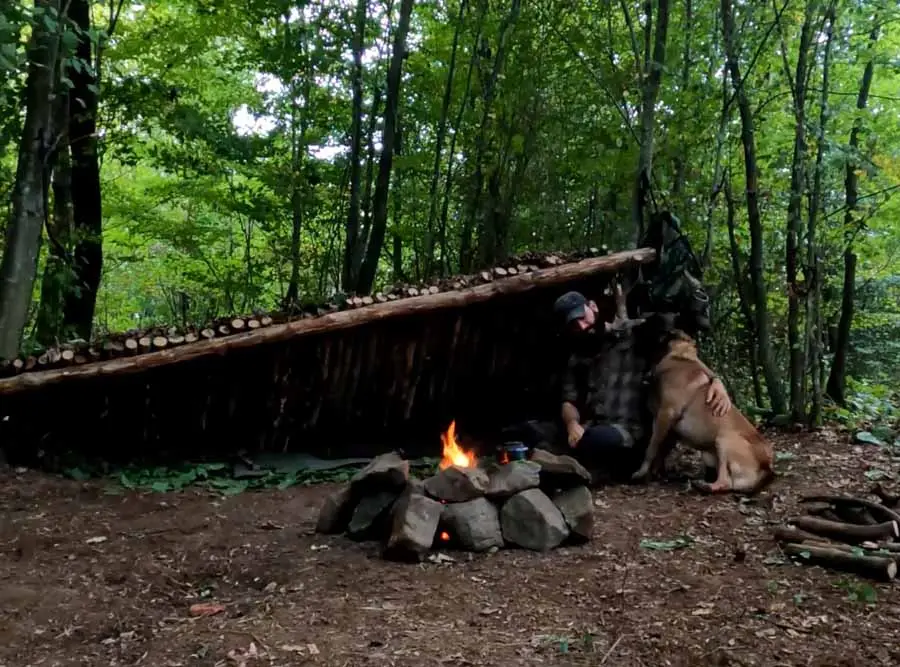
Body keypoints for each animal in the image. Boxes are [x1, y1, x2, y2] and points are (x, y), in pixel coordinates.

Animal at [632, 330, 772, 496]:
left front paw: (641, 472)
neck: (680, 357)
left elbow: (652, 447)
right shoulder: (667, 425)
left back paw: (705, 485)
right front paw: (655, 473)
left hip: (724, 441)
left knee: (724, 482)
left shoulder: (666, 414)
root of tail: (767, 467)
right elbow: (660, 449)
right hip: (711, 454)